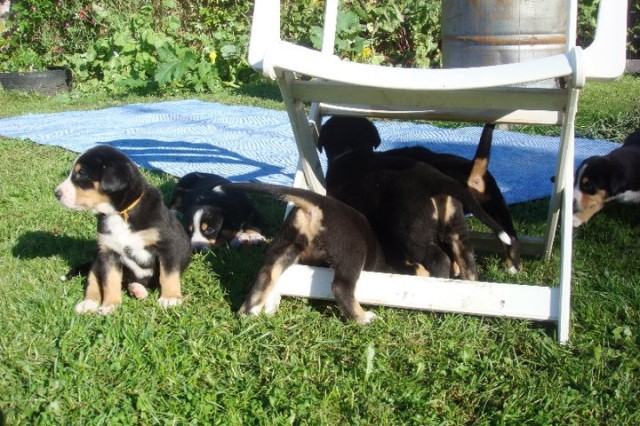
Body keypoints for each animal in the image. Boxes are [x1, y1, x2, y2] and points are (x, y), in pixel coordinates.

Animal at [54, 145, 190, 314]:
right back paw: (89, 303)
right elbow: (110, 282)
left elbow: (168, 275)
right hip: (97, 259)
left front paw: (170, 298)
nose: (56, 193)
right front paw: (110, 305)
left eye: (82, 173)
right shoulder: (108, 253)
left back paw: (138, 290)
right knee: (93, 281)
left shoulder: (168, 244)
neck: (120, 213)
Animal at [220, 181, 390, 324]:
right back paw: (362, 319)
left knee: (266, 274)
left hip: (287, 245)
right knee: (341, 288)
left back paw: (249, 312)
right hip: (353, 249)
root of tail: (321, 203)